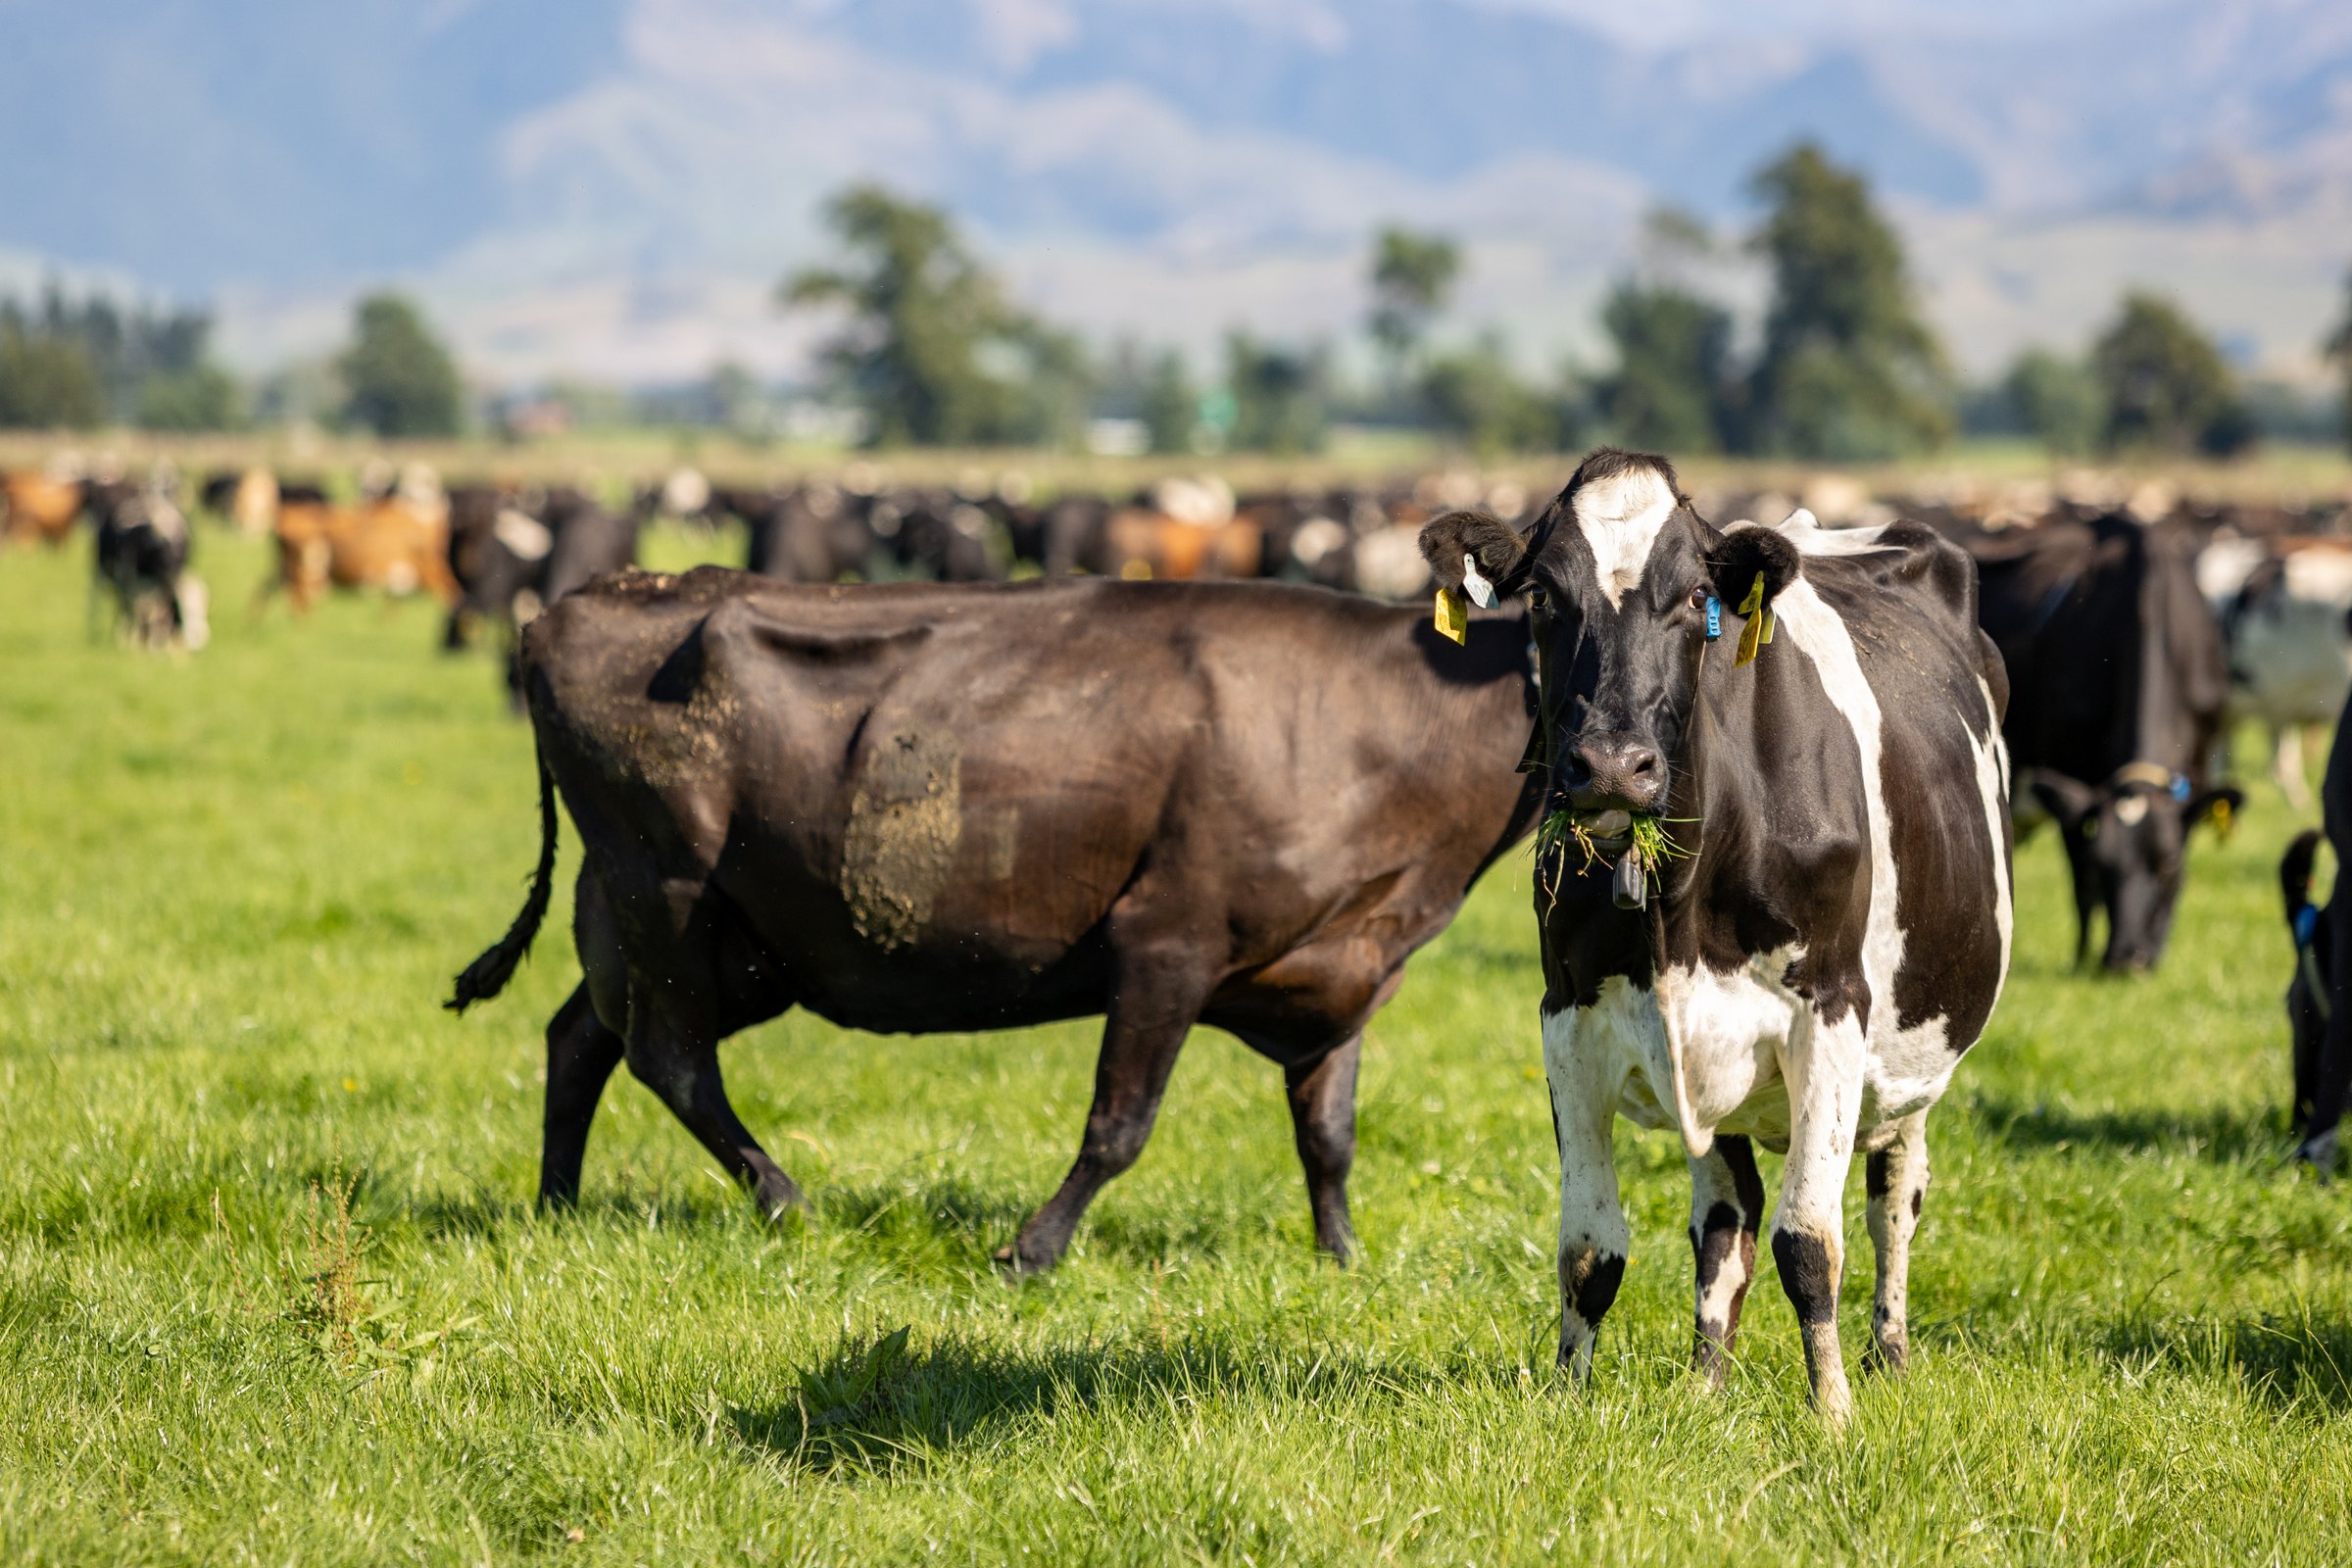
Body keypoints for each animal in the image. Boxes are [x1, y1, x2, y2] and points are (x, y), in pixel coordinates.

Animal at [446, 567, 1543, 1271]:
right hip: (668, 895)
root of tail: (573, 605)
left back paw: (557, 1205)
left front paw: (1343, 1257)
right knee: (668, 1059)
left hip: (709, 938)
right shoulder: (1167, 940)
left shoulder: (1346, 965)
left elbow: (1329, 1135)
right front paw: (1034, 1248)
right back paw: (788, 1204)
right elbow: (1119, 1126)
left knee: (581, 1038)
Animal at [1419, 448, 2013, 1422]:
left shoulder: (1830, 1009)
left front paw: (1833, 1413)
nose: (1612, 766)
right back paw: (1706, 1381)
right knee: (1725, 1218)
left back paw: (1888, 1355)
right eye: (1541, 594)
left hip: (1911, 1056)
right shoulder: (1567, 1017)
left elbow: (1811, 1242)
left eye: (1695, 596)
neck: (1675, 901)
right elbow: (1590, 1249)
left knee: (1894, 1196)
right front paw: (1572, 1398)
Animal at [1967, 510, 2240, 972]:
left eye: (2167, 863)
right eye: (2103, 866)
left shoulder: (2201, 760)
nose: (2126, 959)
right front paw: (2081, 959)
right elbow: (2080, 885)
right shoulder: (2071, 784)